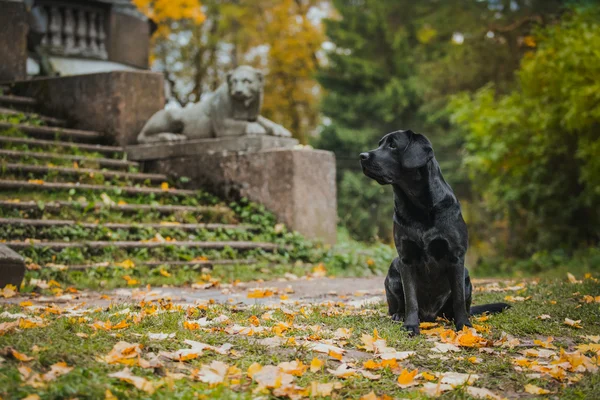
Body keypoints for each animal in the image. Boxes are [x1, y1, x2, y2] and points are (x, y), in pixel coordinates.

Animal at [358, 129, 508, 334]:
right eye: (379, 144)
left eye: (393, 145)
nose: (362, 156)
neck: (419, 207)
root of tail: (431, 315)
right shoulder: (406, 258)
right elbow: (411, 299)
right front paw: (410, 326)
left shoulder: (456, 256)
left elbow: (459, 299)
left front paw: (464, 325)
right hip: (393, 270)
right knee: (397, 306)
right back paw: (399, 315)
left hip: (466, 276)